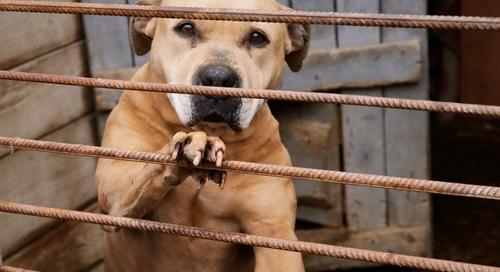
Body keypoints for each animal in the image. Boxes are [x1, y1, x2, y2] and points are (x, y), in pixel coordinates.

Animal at [95, 1, 310, 270]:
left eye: (257, 37)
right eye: (186, 28)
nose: (218, 77)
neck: (212, 128)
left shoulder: (273, 235)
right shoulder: (114, 195)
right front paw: (191, 145)